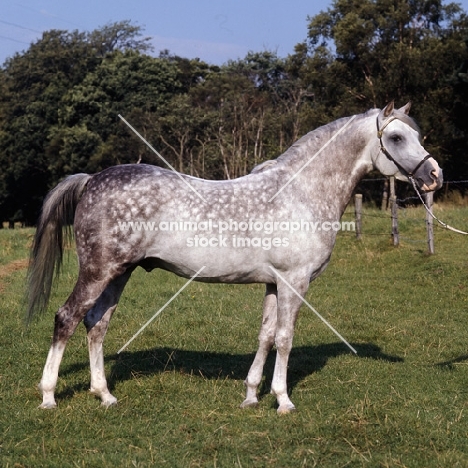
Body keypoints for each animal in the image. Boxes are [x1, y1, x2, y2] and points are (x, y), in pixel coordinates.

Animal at [29, 101, 442, 414]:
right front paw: (283, 400)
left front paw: (251, 395)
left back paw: (104, 395)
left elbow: (265, 336)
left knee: (96, 324)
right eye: (396, 137)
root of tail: (92, 179)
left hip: (120, 273)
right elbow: (285, 338)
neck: (301, 193)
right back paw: (48, 396)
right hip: (98, 271)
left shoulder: (274, 284)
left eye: (418, 135)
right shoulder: (294, 282)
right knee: (67, 318)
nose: (434, 175)